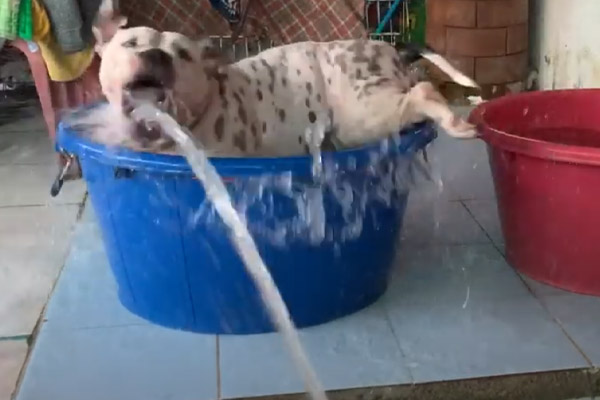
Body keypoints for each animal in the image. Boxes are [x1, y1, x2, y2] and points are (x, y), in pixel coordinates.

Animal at [71, 5, 478, 158]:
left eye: (183, 53)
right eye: (130, 43)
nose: (157, 56)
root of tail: (388, 47)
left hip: (361, 114)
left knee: (423, 91)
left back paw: (456, 123)